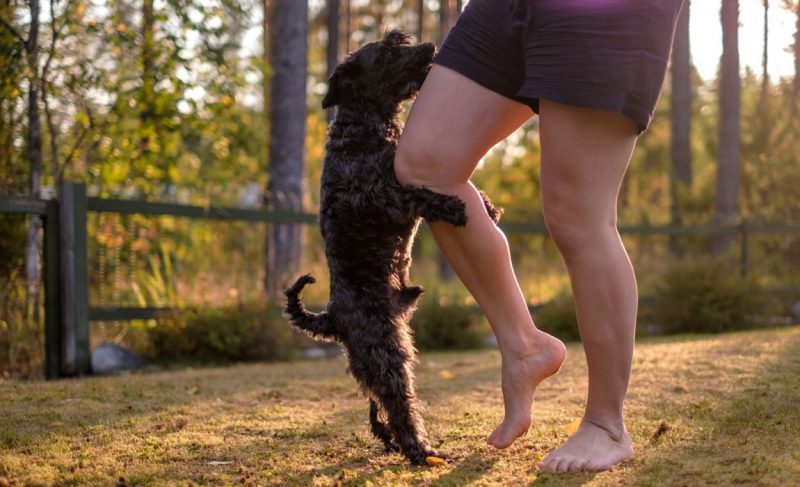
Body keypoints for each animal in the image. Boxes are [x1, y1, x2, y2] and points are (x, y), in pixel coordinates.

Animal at [284, 29, 504, 466]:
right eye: (386, 52)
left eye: (399, 39)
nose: (430, 47)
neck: (362, 130)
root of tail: (331, 317)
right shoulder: (383, 197)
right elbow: (420, 194)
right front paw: (455, 207)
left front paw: (487, 206)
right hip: (386, 354)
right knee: (399, 404)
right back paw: (421, 451)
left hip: (372, 360)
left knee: (376, 407)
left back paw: (390, 440)